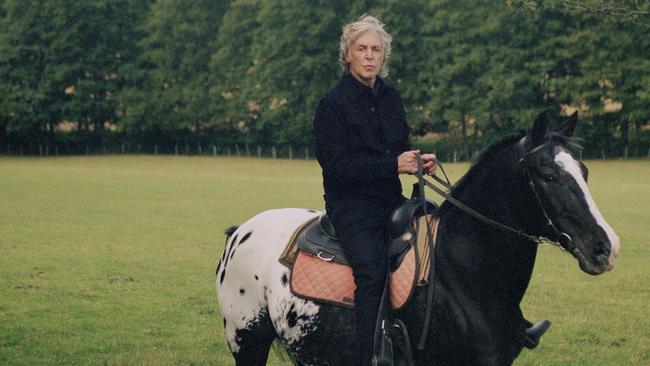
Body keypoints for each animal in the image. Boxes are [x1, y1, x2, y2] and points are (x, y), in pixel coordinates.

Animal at [214, 112, 616, 366]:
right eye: (548, 175)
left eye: (584, 171)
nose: (605, 248)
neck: (465, 276)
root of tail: (241, 231)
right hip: (246, 341)